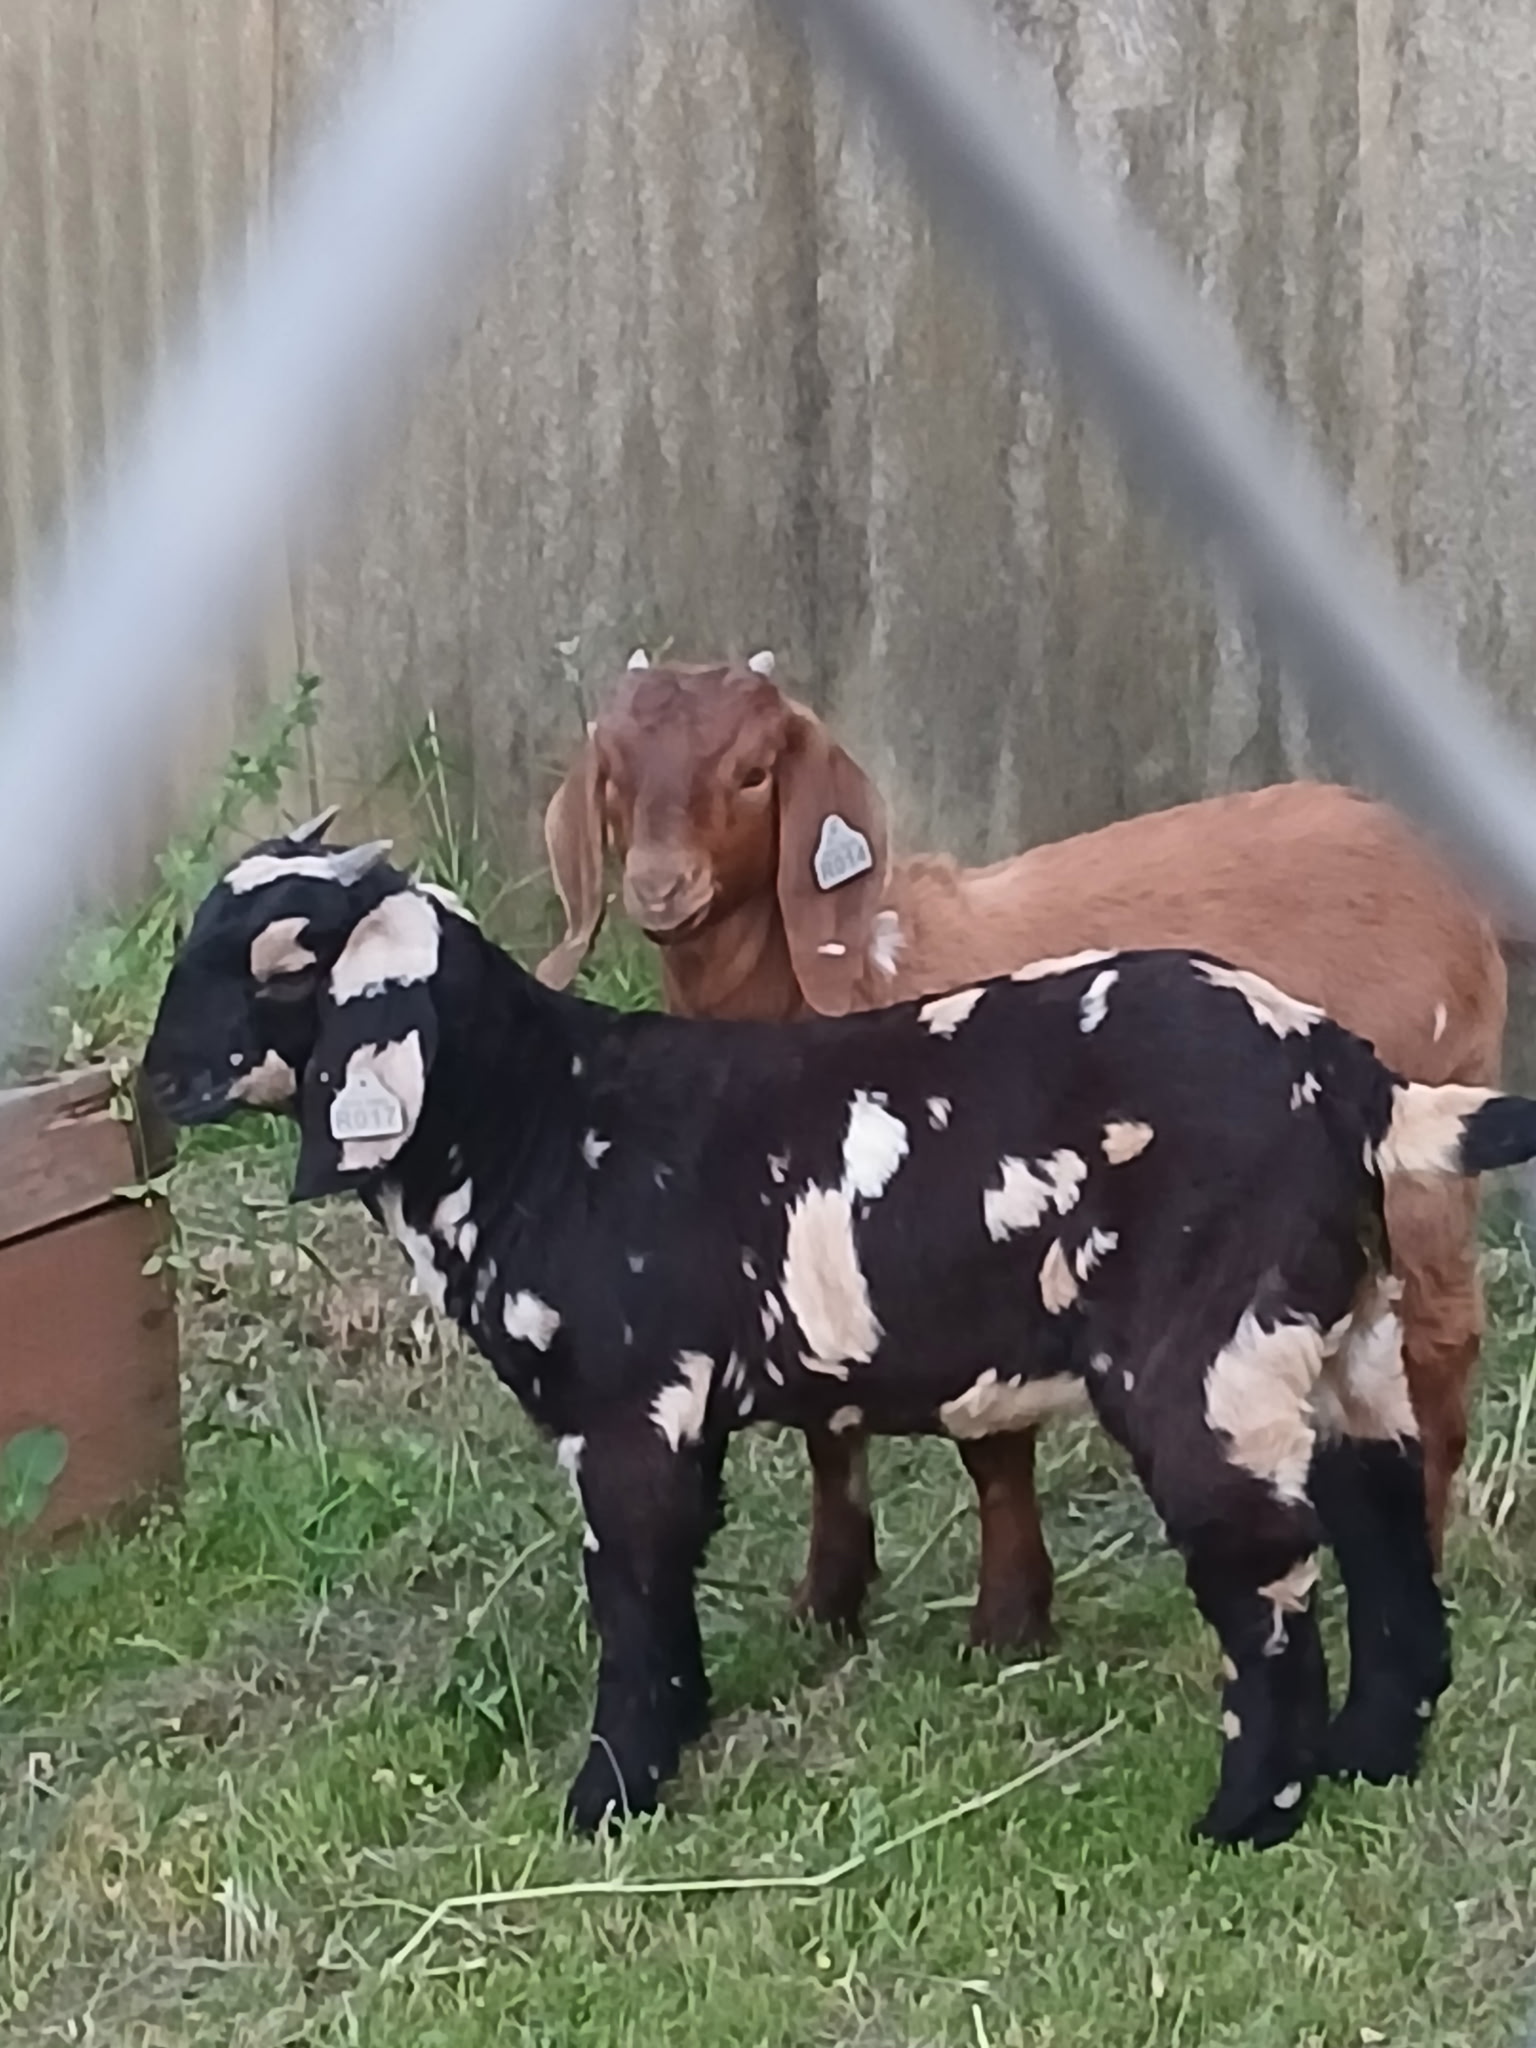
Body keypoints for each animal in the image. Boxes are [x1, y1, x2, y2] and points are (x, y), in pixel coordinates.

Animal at [144, 826, 1536, 1846]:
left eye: (276, 964)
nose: (155, 1084)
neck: (541, 1120)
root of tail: (1349, 1077)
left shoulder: (628, 1409)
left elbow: (631, 1600)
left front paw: (607, 1799)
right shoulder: (674, 1415)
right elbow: (668, 1595)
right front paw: (676, 1745)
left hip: (1204, 1360)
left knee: (1266, 1573)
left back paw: (1250, 1815)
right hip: (1338, 1329)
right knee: (1381, 1525)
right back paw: (1373, 1756)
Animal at [537, 656, 1507, 1652]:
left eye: (752, 774)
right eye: (613, 775)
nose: (660, 888)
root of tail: (1444, 880)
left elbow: (990, 1442)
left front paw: (1006, 1623)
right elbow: (829, 1429)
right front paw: (826, 1608)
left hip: (1421, 1132)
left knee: (1437, 1340)